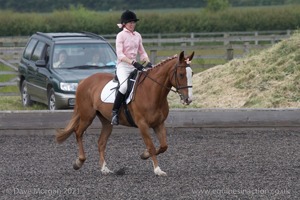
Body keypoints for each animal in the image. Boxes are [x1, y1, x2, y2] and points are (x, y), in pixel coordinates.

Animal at [55, 50, 195, 176]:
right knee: (78, 132)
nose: (188, 99)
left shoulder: (159, 124)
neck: (152, 92)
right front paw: (157, 169)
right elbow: (151, 146)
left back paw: (104, 169)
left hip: (107, 121)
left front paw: (144, 155)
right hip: (87, 116)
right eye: (181, 74)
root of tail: (83, 81)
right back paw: (79, 162)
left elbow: (164, 146)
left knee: (101, 142)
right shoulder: (142, 124)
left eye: (192, 73)